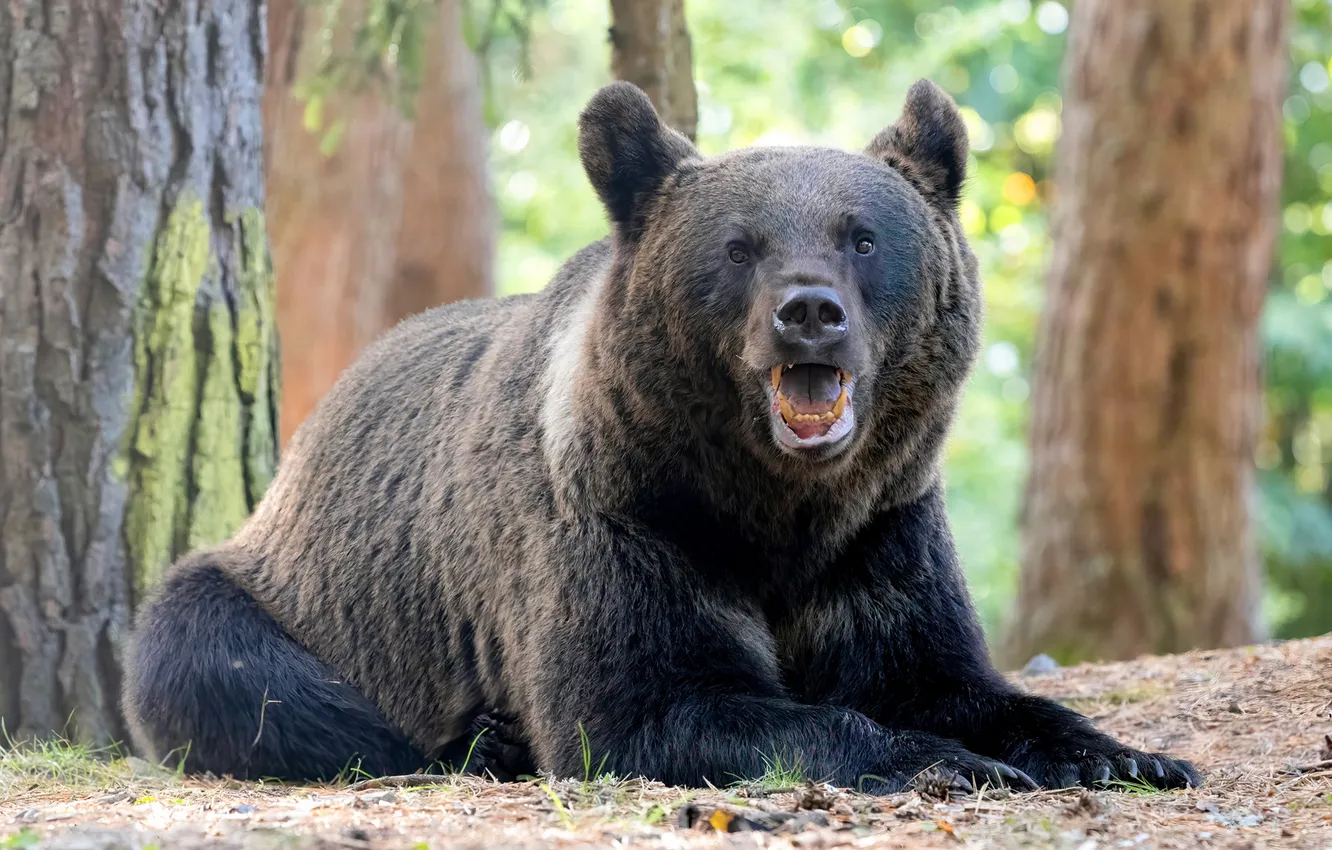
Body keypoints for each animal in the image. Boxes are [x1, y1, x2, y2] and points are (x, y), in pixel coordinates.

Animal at [123, 79, 1200, 793]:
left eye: (862, 236)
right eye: (741, 245)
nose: (810, 315)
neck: (774, 510)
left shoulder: (879, 539)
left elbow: (949, 677)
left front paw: (1129, 753)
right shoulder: (630, 523)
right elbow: (657, 700)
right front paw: (953, 762)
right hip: (282, 592)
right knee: (237, 673)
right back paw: (480, 741)